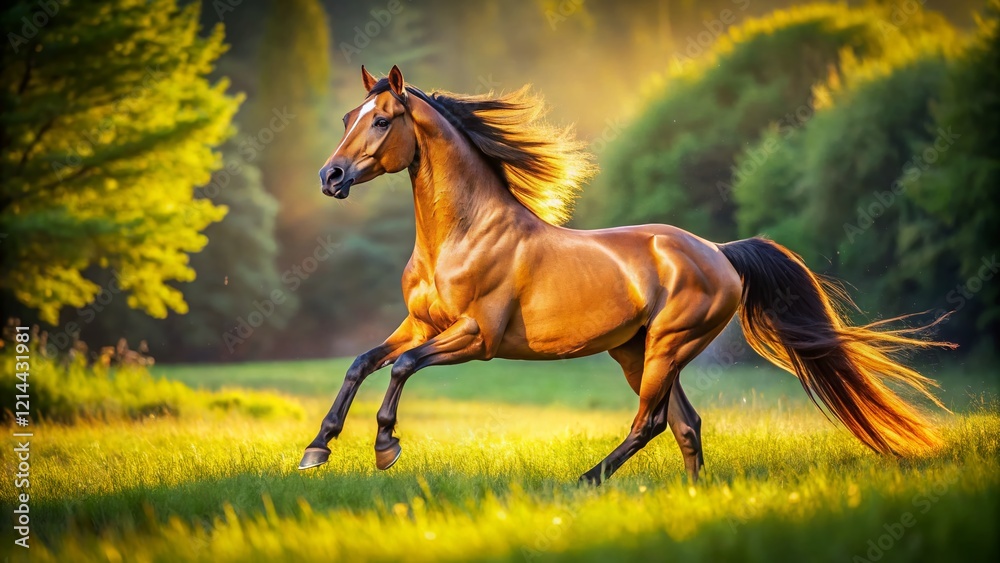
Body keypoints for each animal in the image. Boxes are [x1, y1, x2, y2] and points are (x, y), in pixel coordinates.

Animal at [299, 65, 951, 485]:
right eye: (349, 115)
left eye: (383, 119)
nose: (330, 177)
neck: (462, 237)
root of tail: (719, 251)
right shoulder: (418, 324)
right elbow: (362, 362)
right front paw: (316, 449)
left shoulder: (476, 337)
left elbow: (401, 368)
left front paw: (385, 446)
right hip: (641, 351)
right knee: (685, 425)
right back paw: (690, 497)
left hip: (666, 345)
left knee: (653, 421)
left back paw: (586, 480)